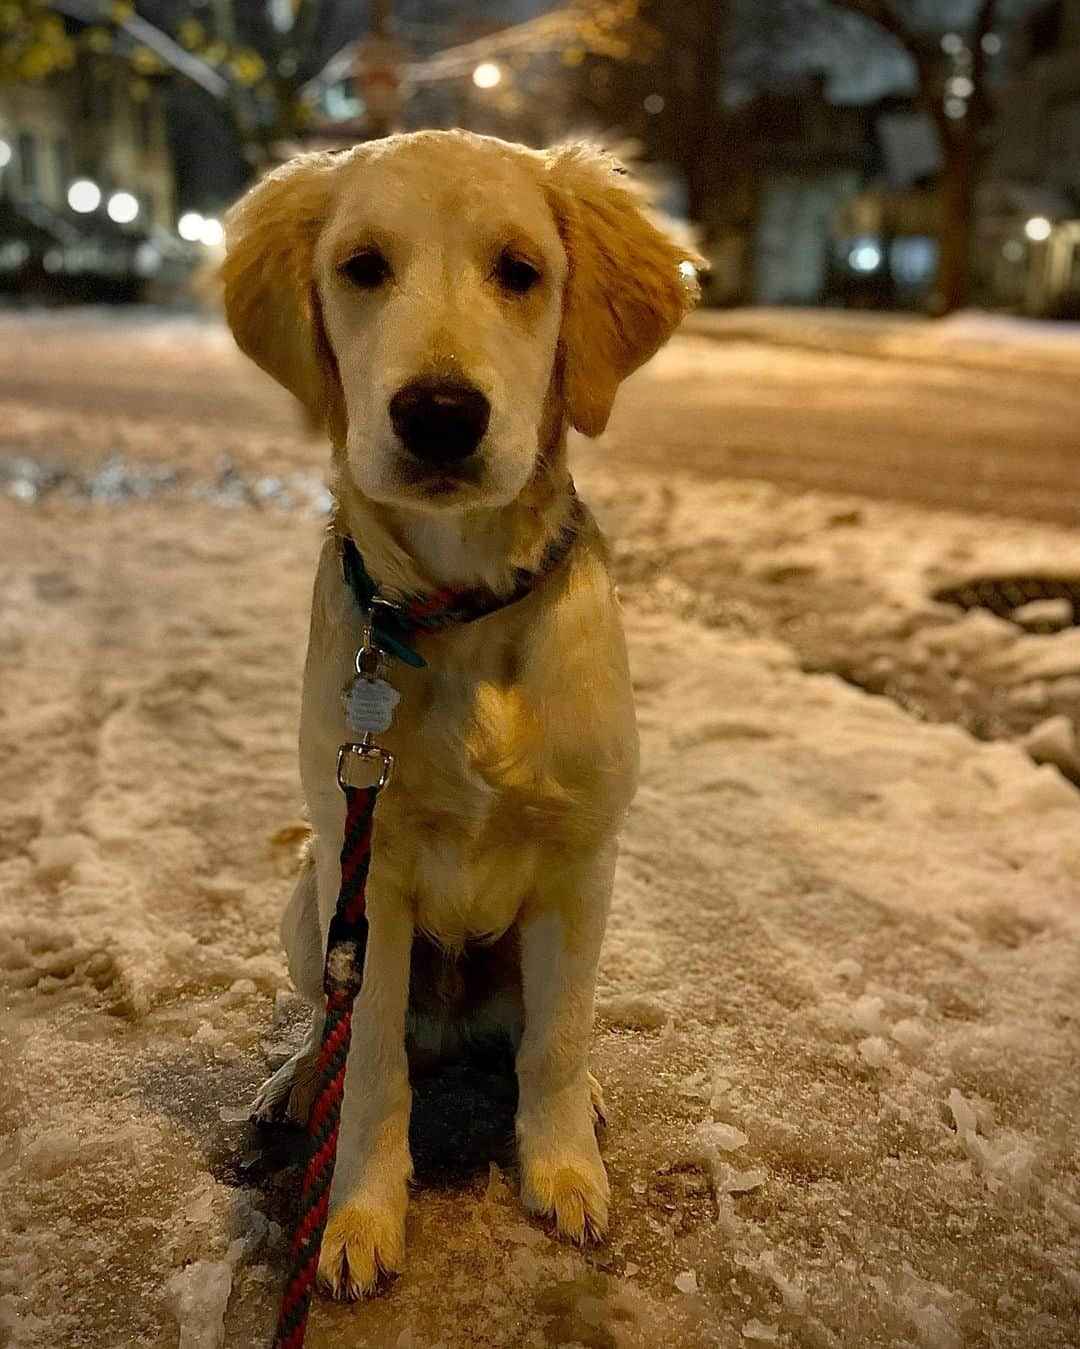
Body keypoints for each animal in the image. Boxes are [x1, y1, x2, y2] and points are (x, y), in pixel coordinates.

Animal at [221, 131, 701, 1300]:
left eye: (520, 271)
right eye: (362, 268)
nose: (439, 414)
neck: (458, 606)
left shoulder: (582, 862)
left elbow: (555, 1044)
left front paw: (563, 1170)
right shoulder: (371, 876)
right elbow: (372, 1068)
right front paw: (357, 1215)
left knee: (528, 1029)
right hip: (311, 899)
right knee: (338, 1025)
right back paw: (293, 1086)